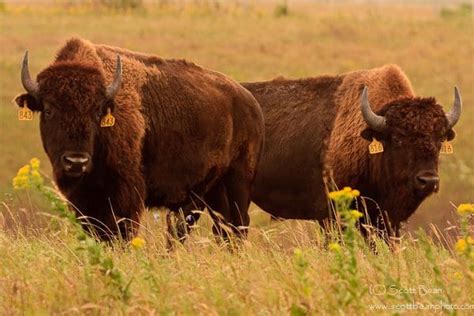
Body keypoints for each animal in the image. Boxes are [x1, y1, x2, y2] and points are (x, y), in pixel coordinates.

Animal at [14, 38, 264, 242]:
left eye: (97, 112)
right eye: (48, 110)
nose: (76, 161)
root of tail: (251, 103)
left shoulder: (125, 195)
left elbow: (120, 233)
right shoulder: (84, 199)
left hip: (237, 181)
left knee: (237, 225)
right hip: (212, 191)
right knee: (222, 229)